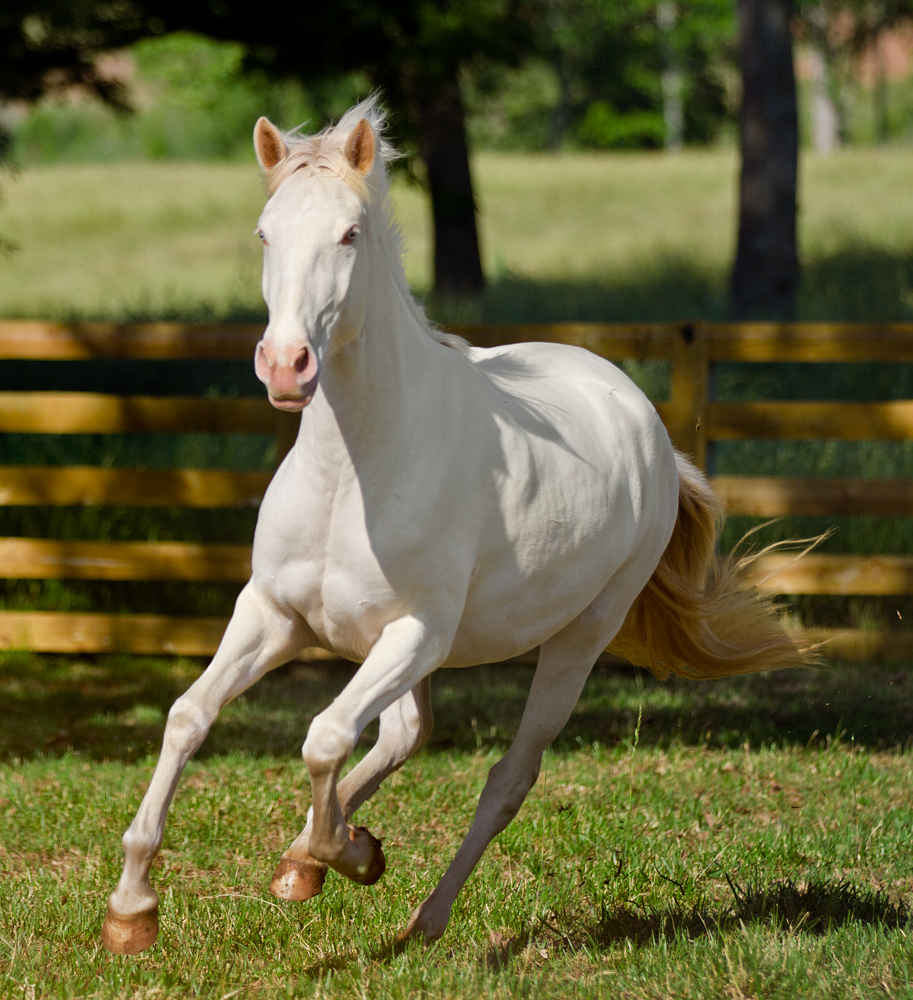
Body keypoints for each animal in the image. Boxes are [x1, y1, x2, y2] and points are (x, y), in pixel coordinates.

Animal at [100, 99, 812, 952]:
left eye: (349, 234)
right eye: (264, 233)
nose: (285, 366)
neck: (353, 473)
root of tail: (646, 426)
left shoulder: (417, 633)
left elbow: (323, 738)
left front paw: (343, 853)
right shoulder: (273, 613)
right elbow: (189, 717)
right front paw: (132, 909)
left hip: (578, 636)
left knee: (505, 776)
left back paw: (417, 917)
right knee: (404, 734)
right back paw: (312, 861)